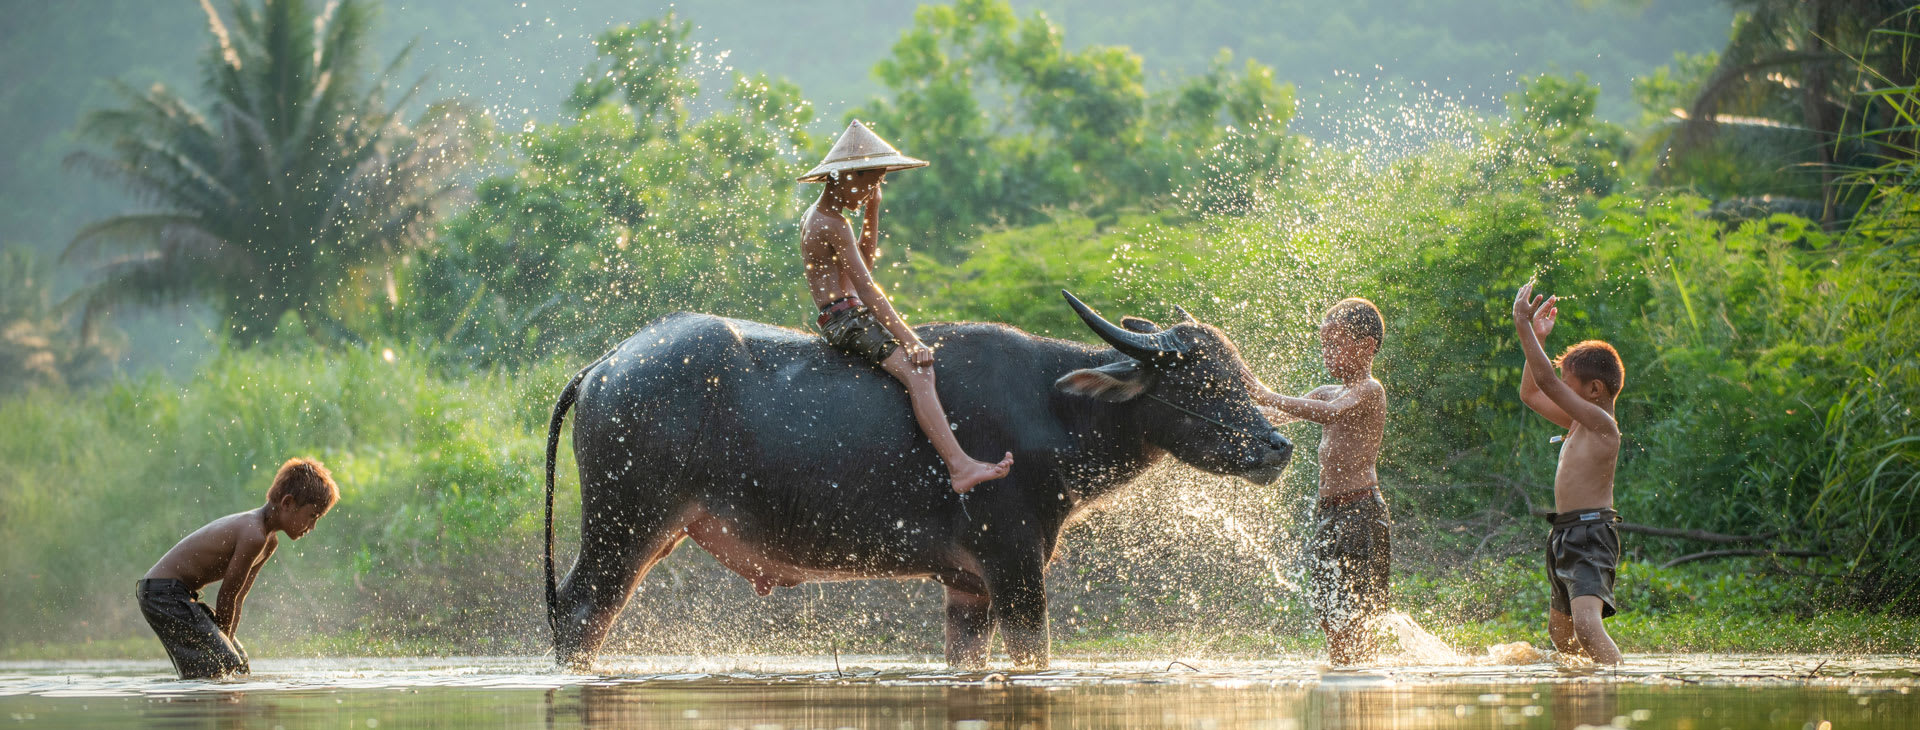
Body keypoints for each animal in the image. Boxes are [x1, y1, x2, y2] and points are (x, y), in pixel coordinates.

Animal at [541, 290, 1290, 668]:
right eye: (1201, 382)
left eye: (1238, 372)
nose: (1277, 445)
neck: (1050, 407)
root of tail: (606, 364)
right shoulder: (1016, 565)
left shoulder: (969, 587)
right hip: (623, 527)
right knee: (580, 615)